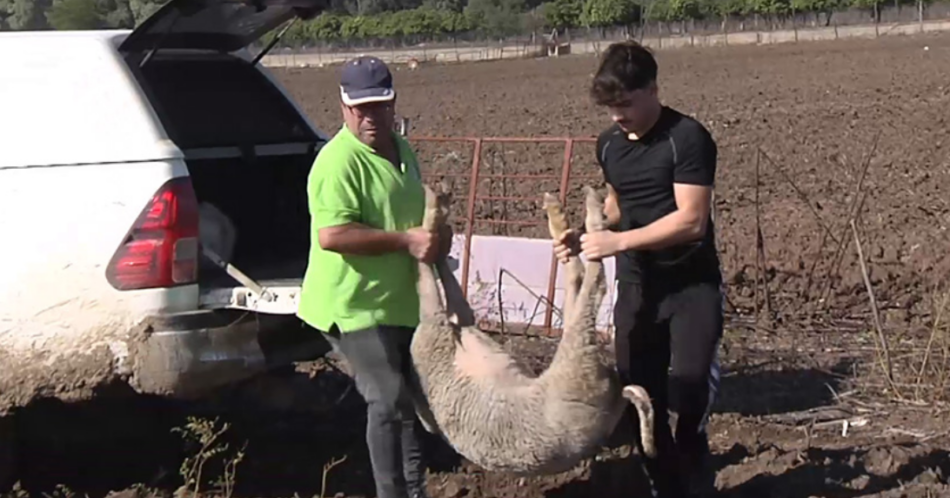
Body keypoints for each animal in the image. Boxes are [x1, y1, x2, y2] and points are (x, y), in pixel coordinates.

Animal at [410, 182, 656, 474]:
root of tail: (617, 392)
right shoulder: (435, 333)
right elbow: (429, 285)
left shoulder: (456, 324)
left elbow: (450, 292)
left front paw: (442, 220)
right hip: (576, 368)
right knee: (592, 283)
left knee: (579, 282)